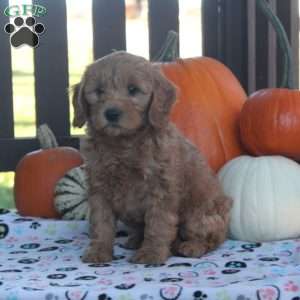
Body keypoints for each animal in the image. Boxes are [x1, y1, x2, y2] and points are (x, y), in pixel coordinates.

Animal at [72, 50, 232, 264]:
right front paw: (98, 251)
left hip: (198, 214)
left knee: (212, 238)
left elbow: (158, 223)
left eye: (133, 90)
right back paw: (135, 240)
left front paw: (151, 253)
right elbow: (101, 223)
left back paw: (191, 247)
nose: (111, 113)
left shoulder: (161, 187)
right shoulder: (99, 188)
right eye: (98, 91)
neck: (123, 144)